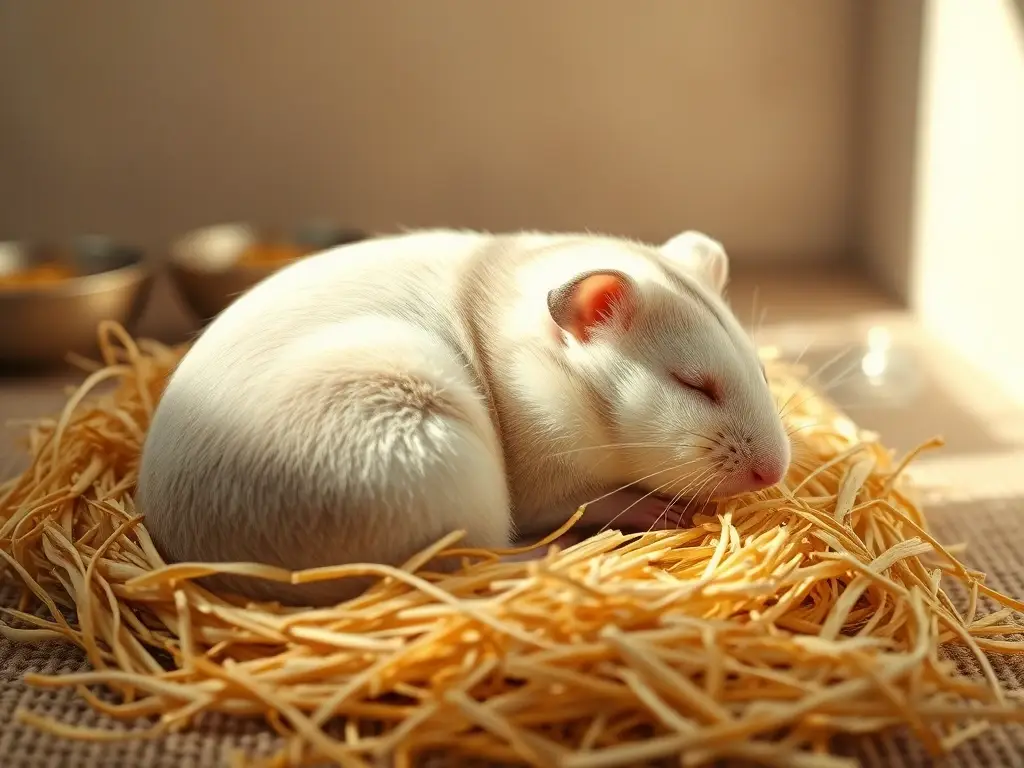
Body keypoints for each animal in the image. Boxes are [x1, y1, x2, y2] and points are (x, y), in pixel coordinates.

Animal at [137, 229, 790, 605]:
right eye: (692, 383)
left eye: (760, 370)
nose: (775, 473)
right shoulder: (551, 478)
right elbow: (589, 500)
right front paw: (662, 513)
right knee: (484, 556)